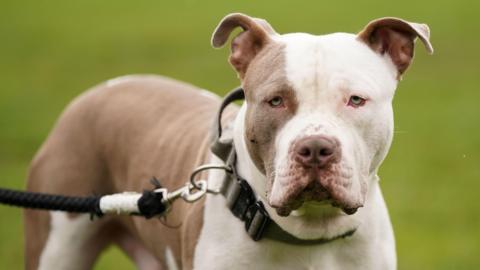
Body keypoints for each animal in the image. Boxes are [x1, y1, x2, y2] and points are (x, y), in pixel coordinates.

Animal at [24, 12, 434, 270]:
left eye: (356, 100)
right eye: (275, 100)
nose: (315, 149)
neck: (310, 235)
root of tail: (99, 90)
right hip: (56, 243)